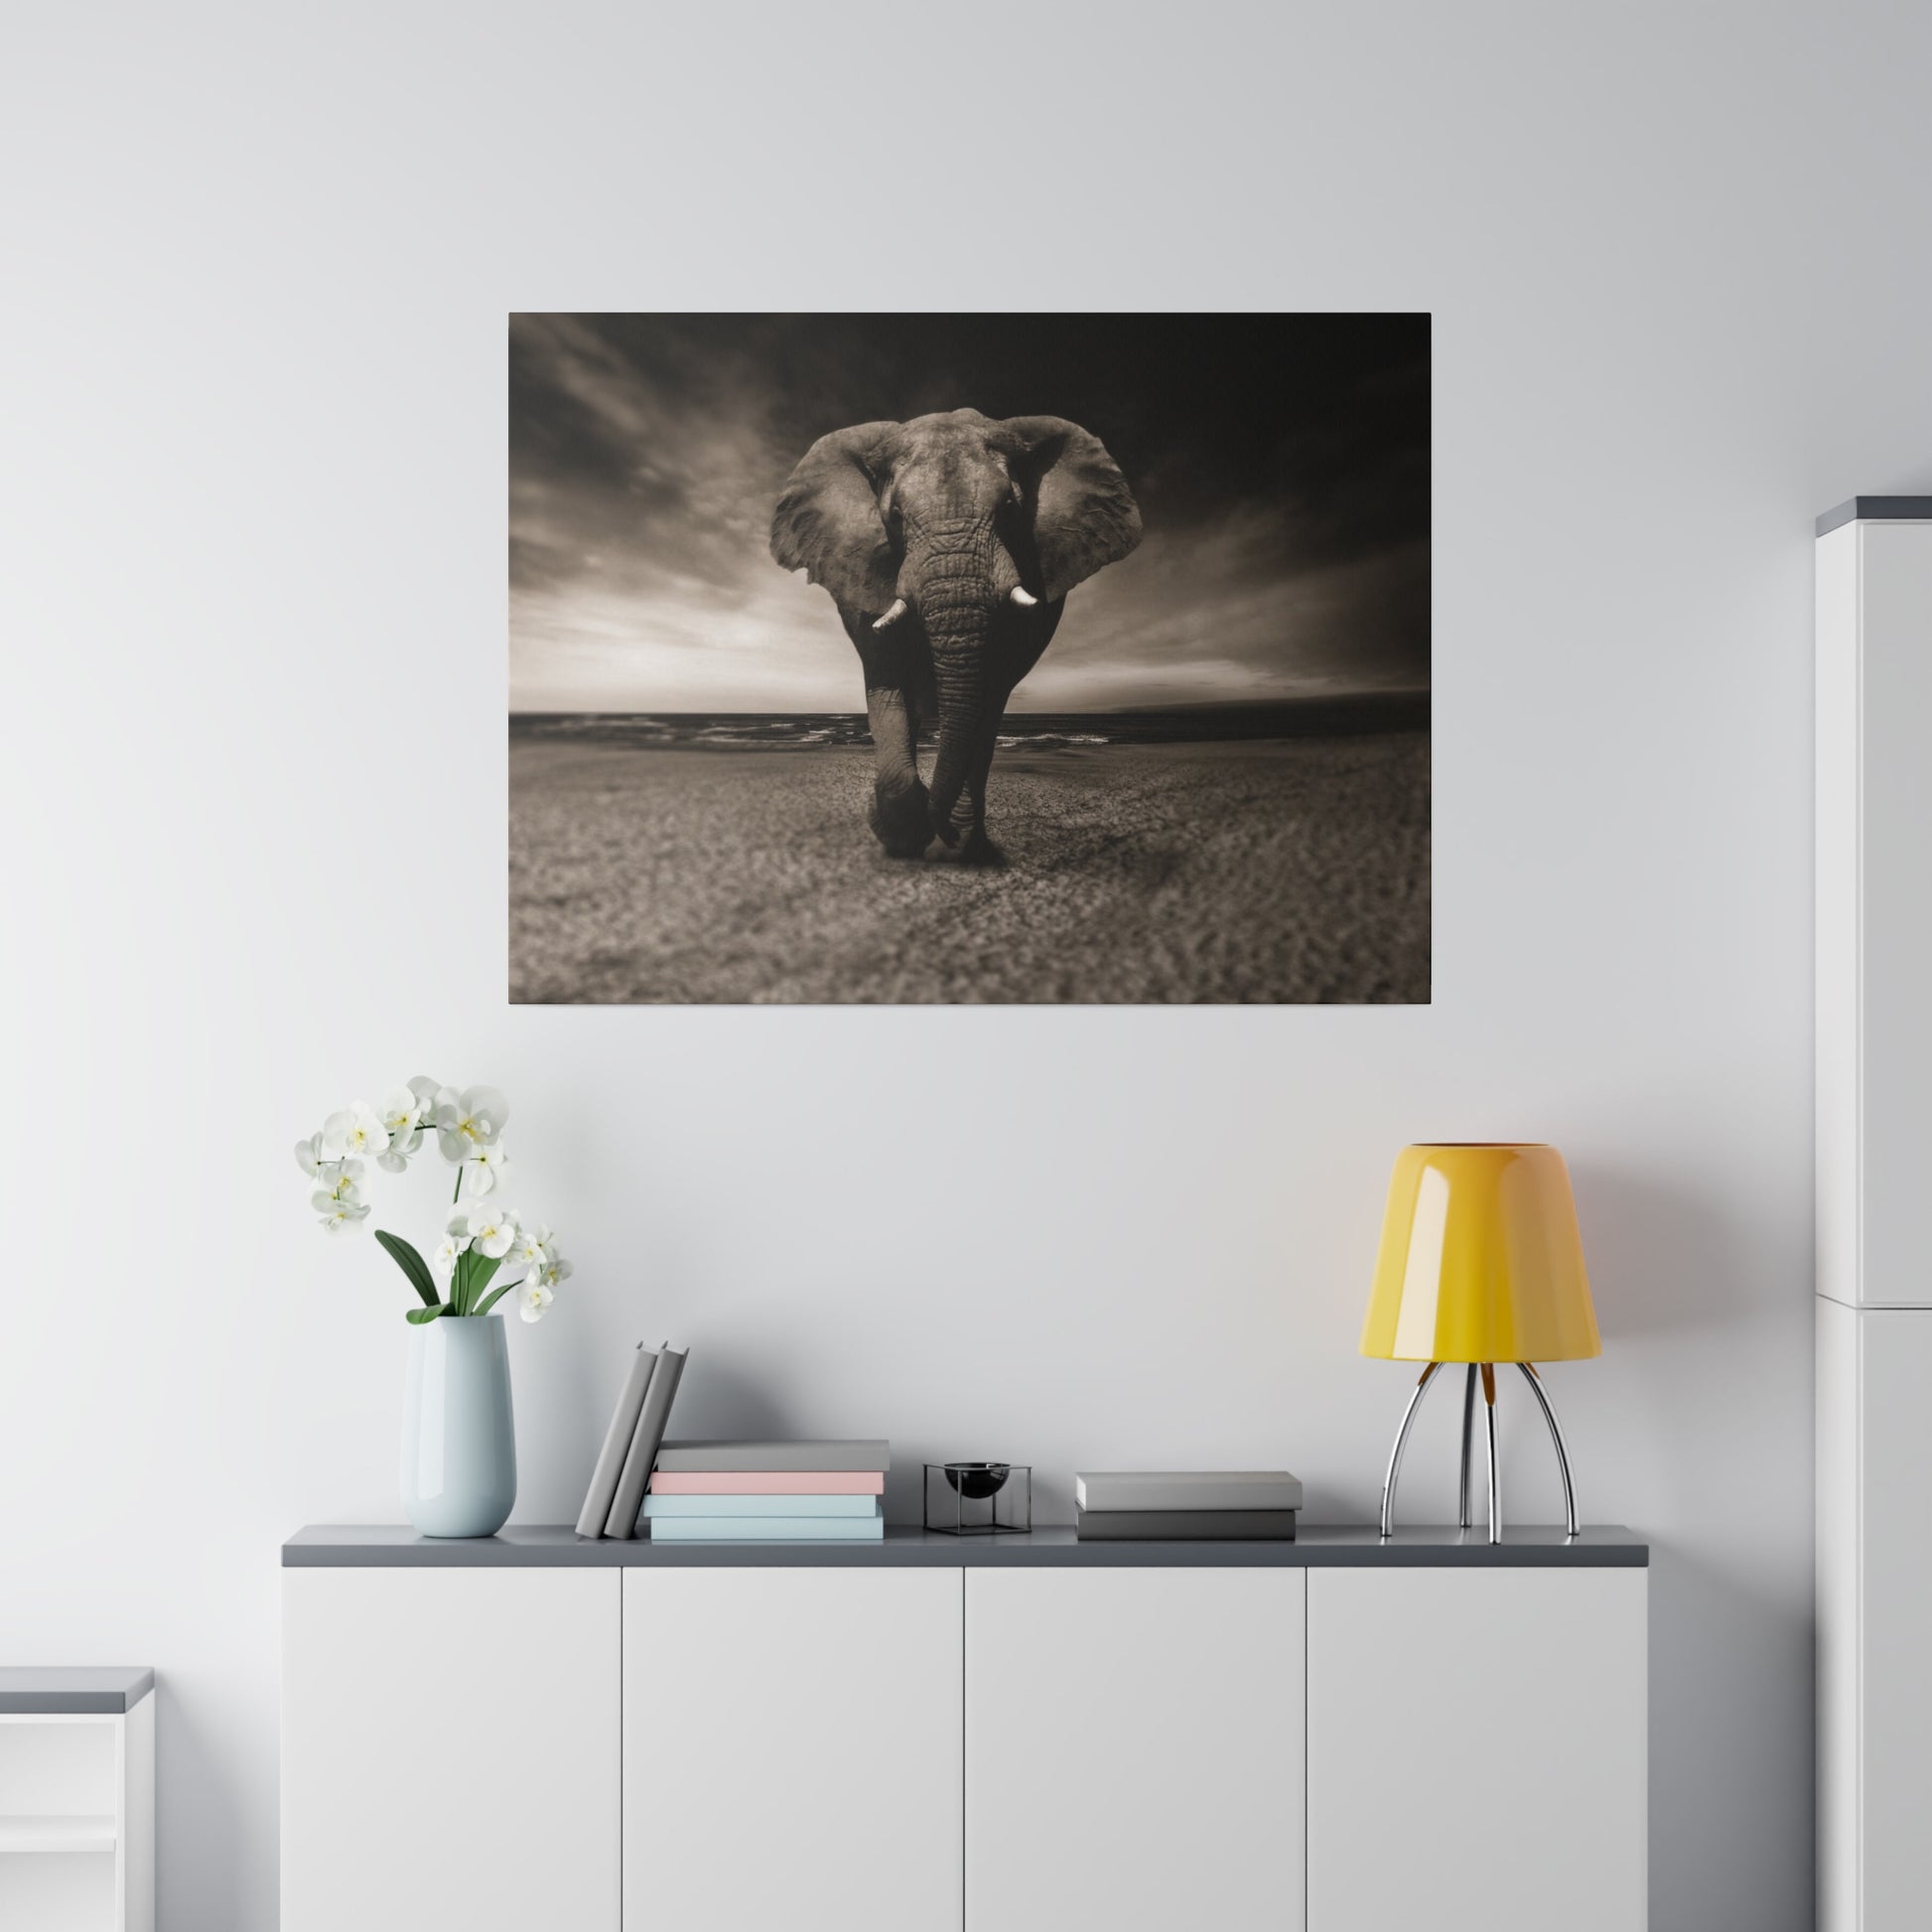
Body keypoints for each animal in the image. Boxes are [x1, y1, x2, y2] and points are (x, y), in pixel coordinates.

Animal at [764, 405, 1128, 861]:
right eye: (895, 517)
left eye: (1010, 508)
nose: (946, 833)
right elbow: (887, 682)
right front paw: (903, 835)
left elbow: (986, 700)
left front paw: (950, 838)